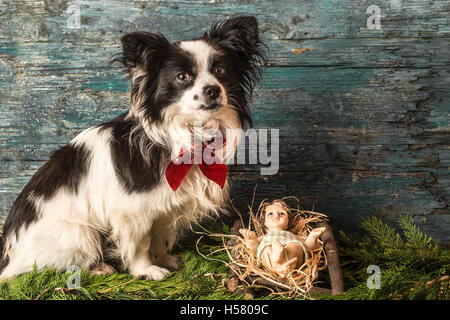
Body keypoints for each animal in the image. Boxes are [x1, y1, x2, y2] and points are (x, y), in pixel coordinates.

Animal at [0, 15, 266, 280]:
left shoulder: (163, 209)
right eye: (182, 77)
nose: (212, 90)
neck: (185, 137)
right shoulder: (132, 213)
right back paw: (97, 267)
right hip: (80, 234)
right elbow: (140, 244)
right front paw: (146, 270)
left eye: (220, 71)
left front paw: (165, 260)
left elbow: (159, 239)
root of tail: (10, 256)